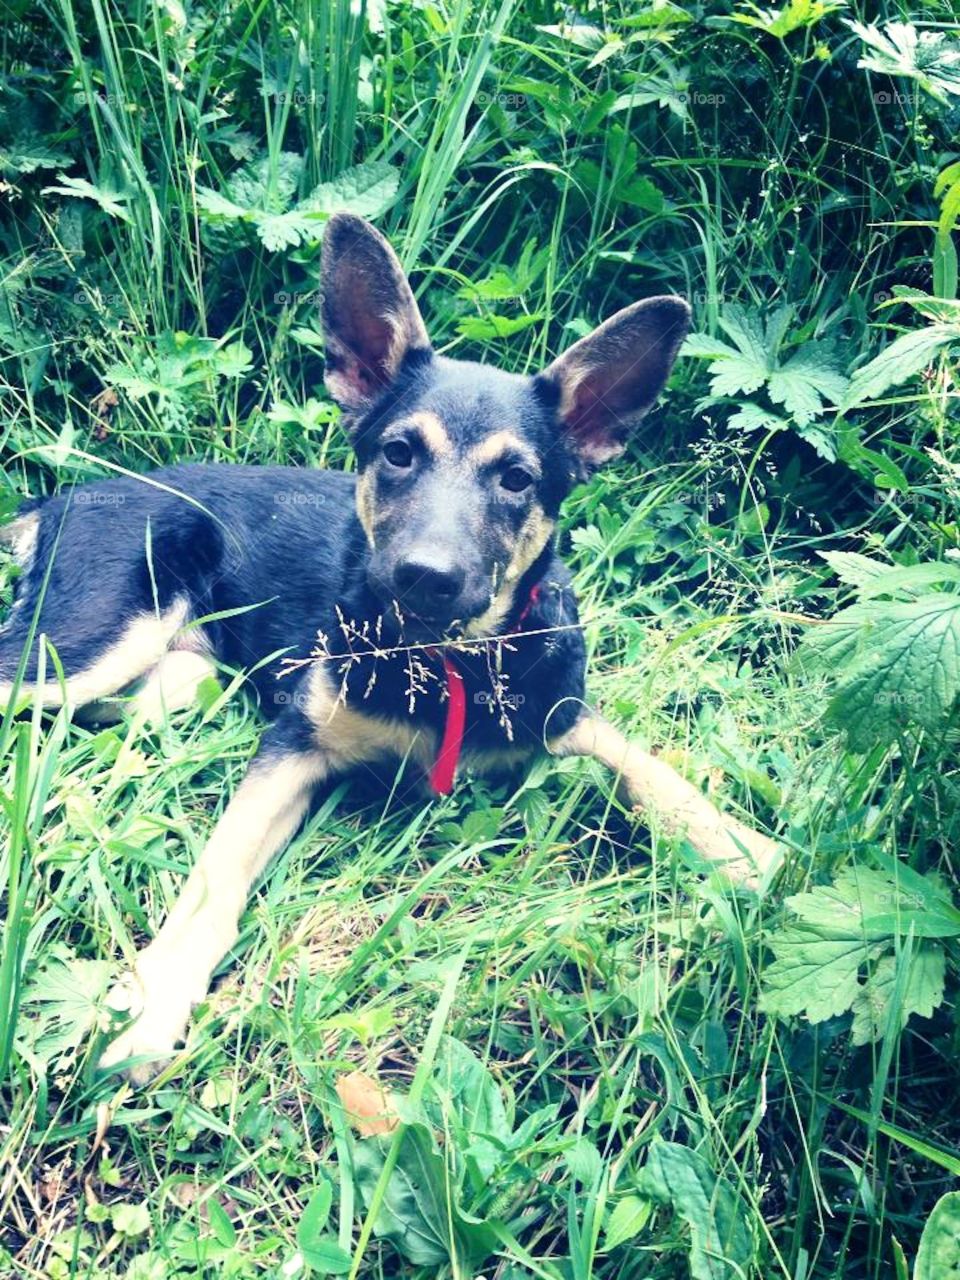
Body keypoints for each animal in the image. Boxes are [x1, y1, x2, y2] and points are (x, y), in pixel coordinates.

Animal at [0, 212, 778, 1080]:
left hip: (177, 681)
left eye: (517, 479)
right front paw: (154, 1000)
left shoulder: (564, 711)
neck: (440, 662)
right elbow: (217, 871)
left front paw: (744, 850)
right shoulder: (295, 742)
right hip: (88, 641)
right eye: (399, 454)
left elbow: (651, 769)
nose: (425, 577)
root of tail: (61, 498)